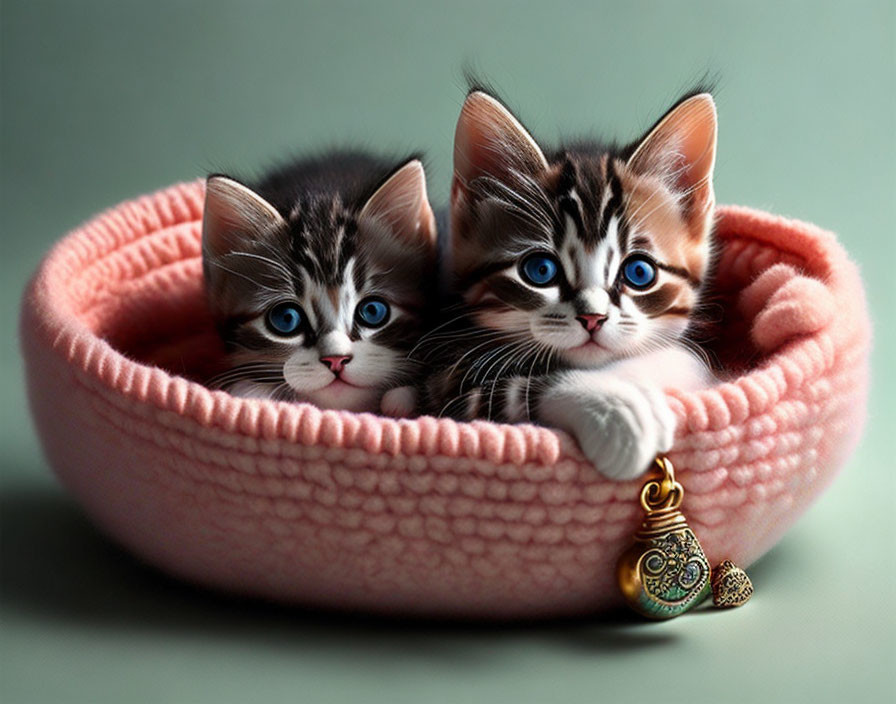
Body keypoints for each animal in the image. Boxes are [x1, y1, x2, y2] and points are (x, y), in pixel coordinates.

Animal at [420, 85, 720, 476]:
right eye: (540, 271)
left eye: (639, 273)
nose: (592, 318)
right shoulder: (441, 381)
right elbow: (517, 389)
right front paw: (621, 411)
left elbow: (682, 360)